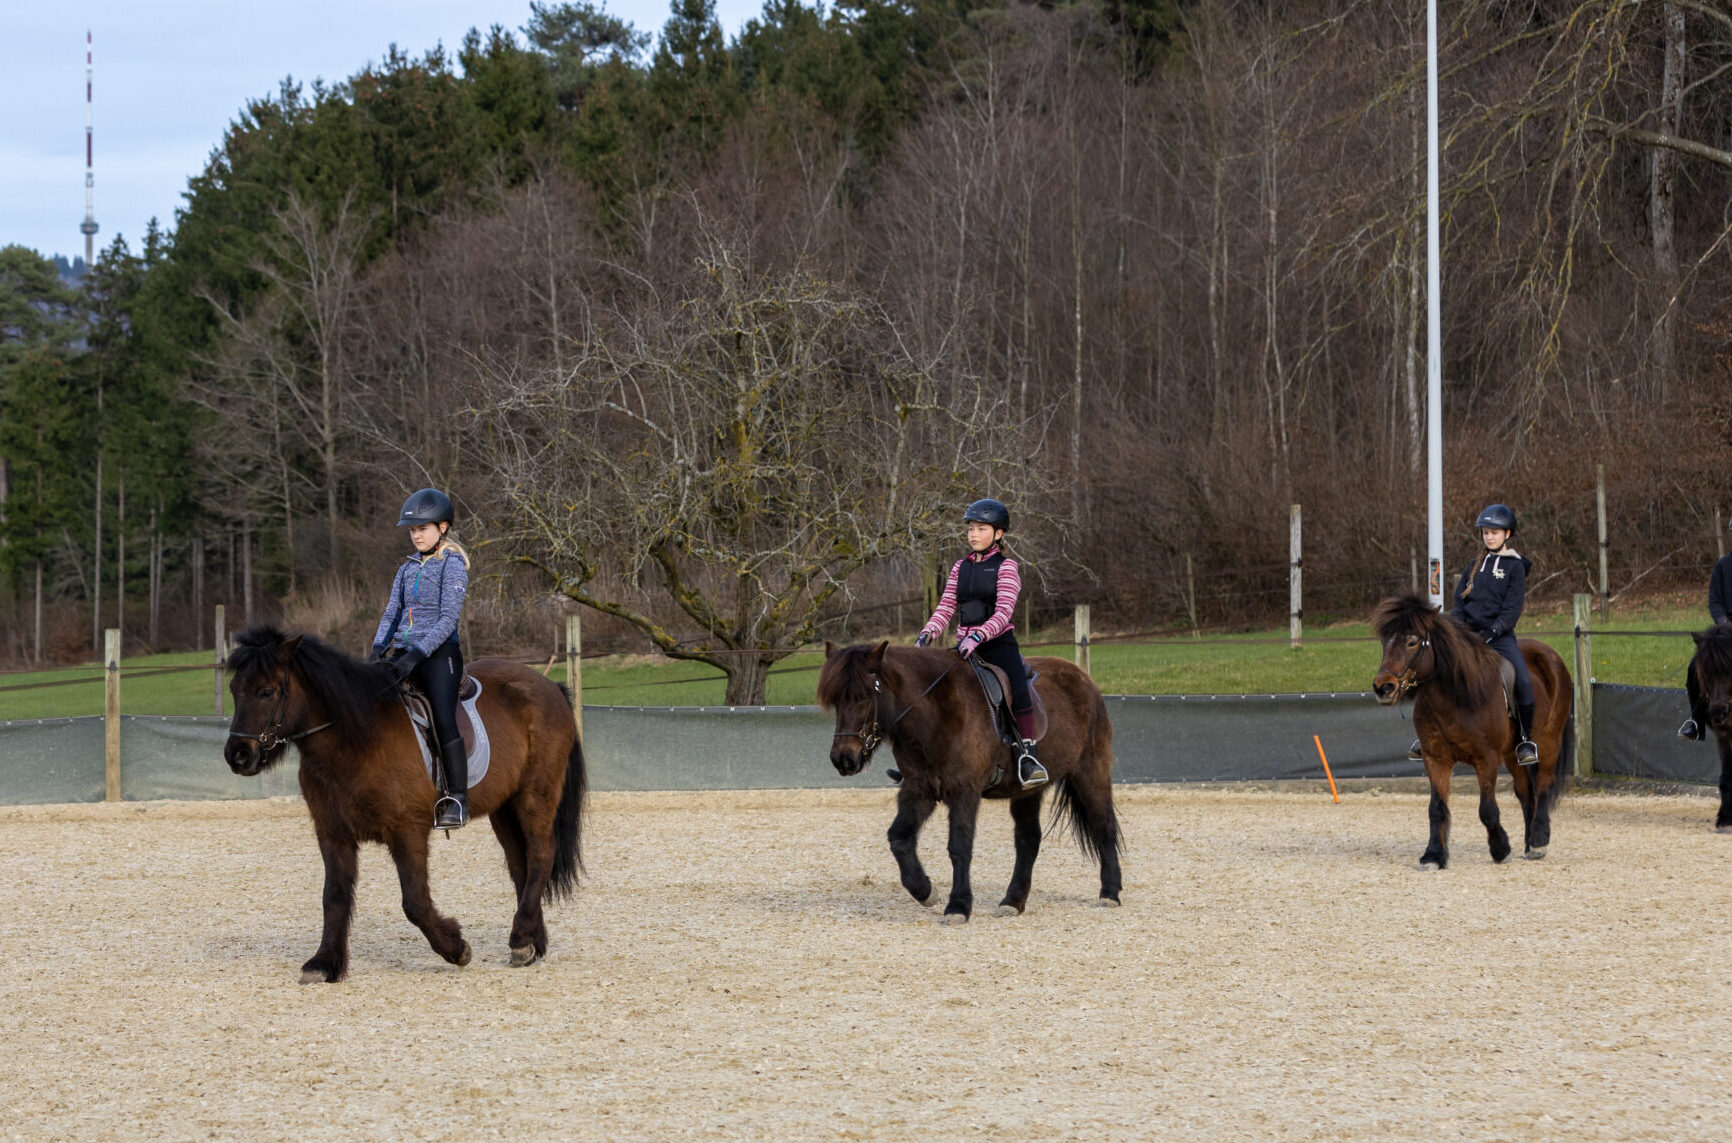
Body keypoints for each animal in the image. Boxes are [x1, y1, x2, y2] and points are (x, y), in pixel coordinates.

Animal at [223, 623, 585, 983]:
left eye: (266, 692)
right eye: (234, 690)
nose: (237, 755)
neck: (355, 740)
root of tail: (549, 686)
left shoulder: (408, 830)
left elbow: (415, 902)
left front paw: (456, 947)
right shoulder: (333, 834)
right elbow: (334, 896)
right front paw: (324, 963)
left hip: (534, 796)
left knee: (540, 855)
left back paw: (521, 939)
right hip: (505, 808)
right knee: (520, 865)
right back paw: (532, 943)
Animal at [820, 644, 1122, 921]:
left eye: (864, 696)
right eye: (836, 701)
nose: (843, 758)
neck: (934, 714)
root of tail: (1084, 679)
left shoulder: (964, 790)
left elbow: (959, 846)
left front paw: (958, 906)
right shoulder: (919, 790)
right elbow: (899, 838)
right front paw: (925, 891)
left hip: (1090, 773)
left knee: (1104, 826)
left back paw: (1110, 893)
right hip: (1027, 792)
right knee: (1028, 840)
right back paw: (1012, 901)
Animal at [1378, 592, 1572, 869]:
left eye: (1412, 642)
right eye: (1385, 641)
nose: (1383, 688)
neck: (1455, 696)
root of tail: (1550, 654)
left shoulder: (1486, 758)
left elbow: (1487, 810)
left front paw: (1500, 848)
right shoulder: (1435, 758)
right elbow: (1436, 807)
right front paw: (1433, 855)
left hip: (1549, 742)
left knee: (1544, 784)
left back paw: (1538, 840)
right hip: (1512, 754)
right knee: (1525, 793)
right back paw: (1527, 843)